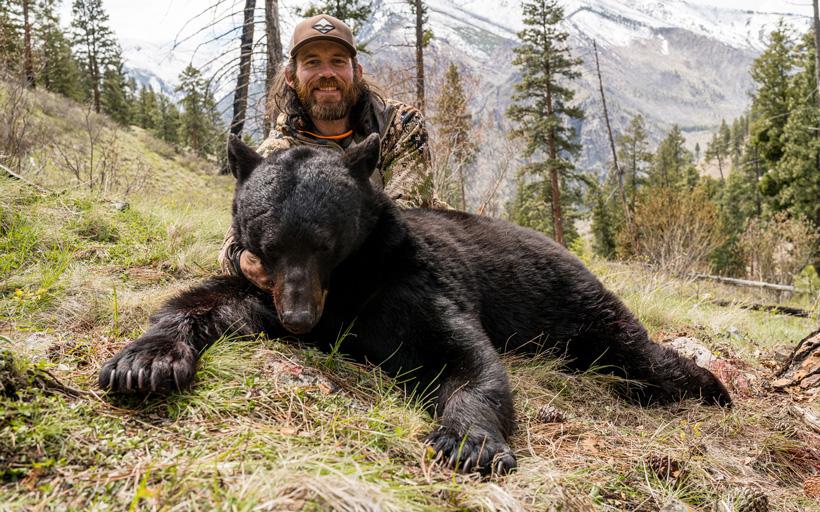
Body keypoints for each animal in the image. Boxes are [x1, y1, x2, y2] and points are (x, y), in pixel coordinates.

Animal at [99, 133, 732, 475]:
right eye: (268, 244)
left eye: (326, 241)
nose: (300, 320)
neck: (348, 284)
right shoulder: (268, 289)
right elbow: (210, 303)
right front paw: (143, 362)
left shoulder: (413, 282)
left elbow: (465, 359)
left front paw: (469, 443)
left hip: (571, 298)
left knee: (633, 348)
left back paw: (708, 388)